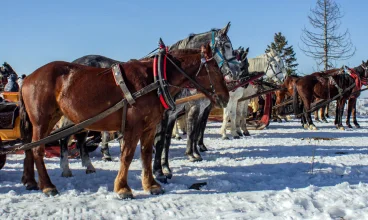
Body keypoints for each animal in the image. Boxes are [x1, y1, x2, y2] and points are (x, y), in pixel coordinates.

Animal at [19, 43, 230, 198]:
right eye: (215, 68)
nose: (226, 97)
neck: (154, 80)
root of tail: (28, 78)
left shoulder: (149, 127)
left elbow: (146, 154)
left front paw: (151, 185)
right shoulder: (133, 127)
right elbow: (127, 156)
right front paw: (123, 188)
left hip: (50, 119)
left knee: (30, 146)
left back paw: (31, 181)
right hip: (42, 120)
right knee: (38, 149)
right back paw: (48, 185)